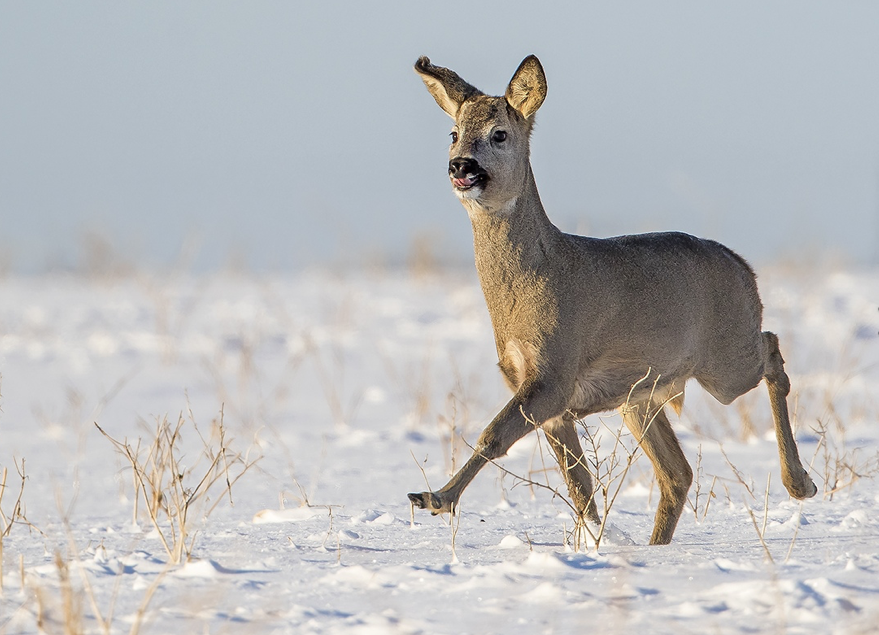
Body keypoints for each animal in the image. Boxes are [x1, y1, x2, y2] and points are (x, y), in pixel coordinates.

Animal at [410, 53, 820, 548]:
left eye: (499, 134)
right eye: (453, 133)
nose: (460, 166)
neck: (534, 282)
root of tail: (743, 266)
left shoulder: (554, 372)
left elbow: (492, 436)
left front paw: (434, 497)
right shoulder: (542, 393)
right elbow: (579, 487)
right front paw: (599, 542)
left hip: (724, 365)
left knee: (772, 349)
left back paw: (800, 483)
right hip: (640, 394)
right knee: (678, 473)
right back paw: (657, 545)